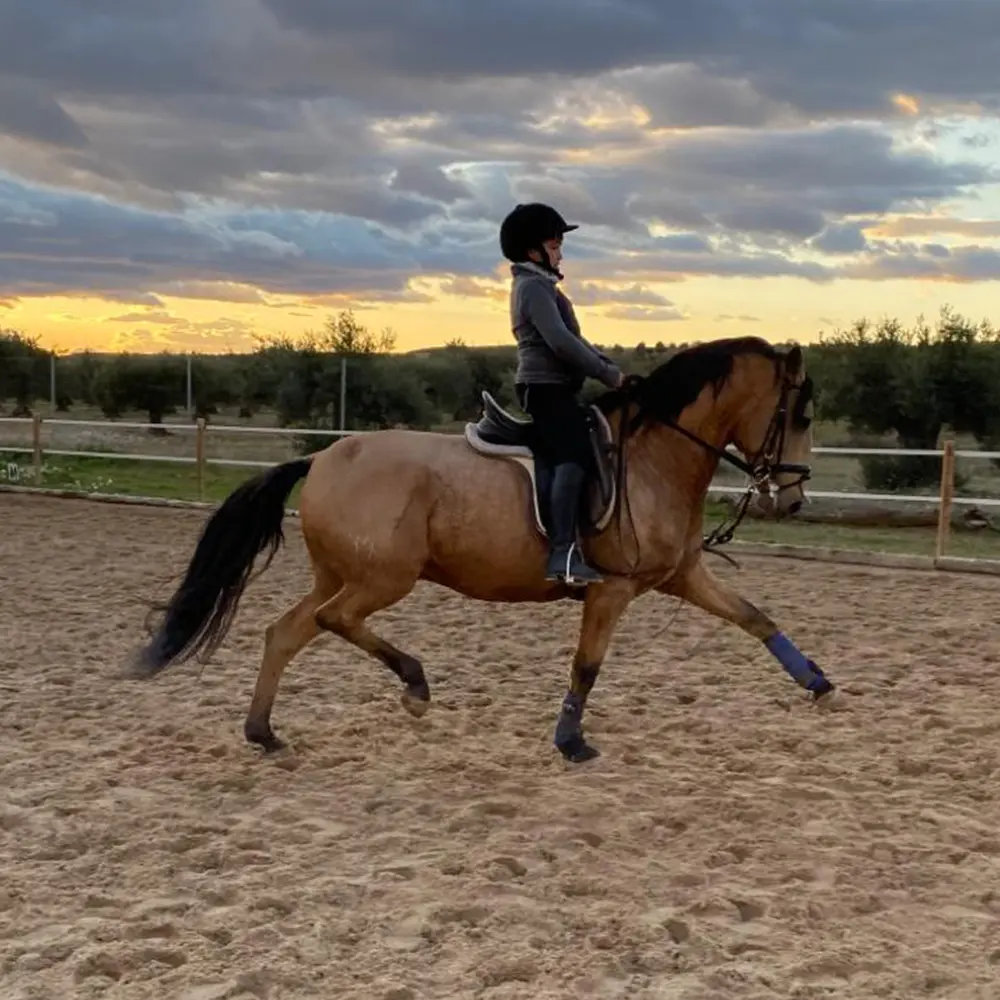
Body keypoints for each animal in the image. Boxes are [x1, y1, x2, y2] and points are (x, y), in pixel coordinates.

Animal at [129, 335, 833, 763]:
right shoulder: (611, 589)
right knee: (334, 621)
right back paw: (413, 685)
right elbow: (587, 666)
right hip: (383, 579)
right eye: (798, 415)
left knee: (287, 631)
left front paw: (819, 683)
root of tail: (323, 456)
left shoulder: (681, 574)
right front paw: (571, 741)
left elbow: (755, 618)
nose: (793, 501)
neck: (657, 456)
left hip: (340, 573)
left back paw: (264, 732)